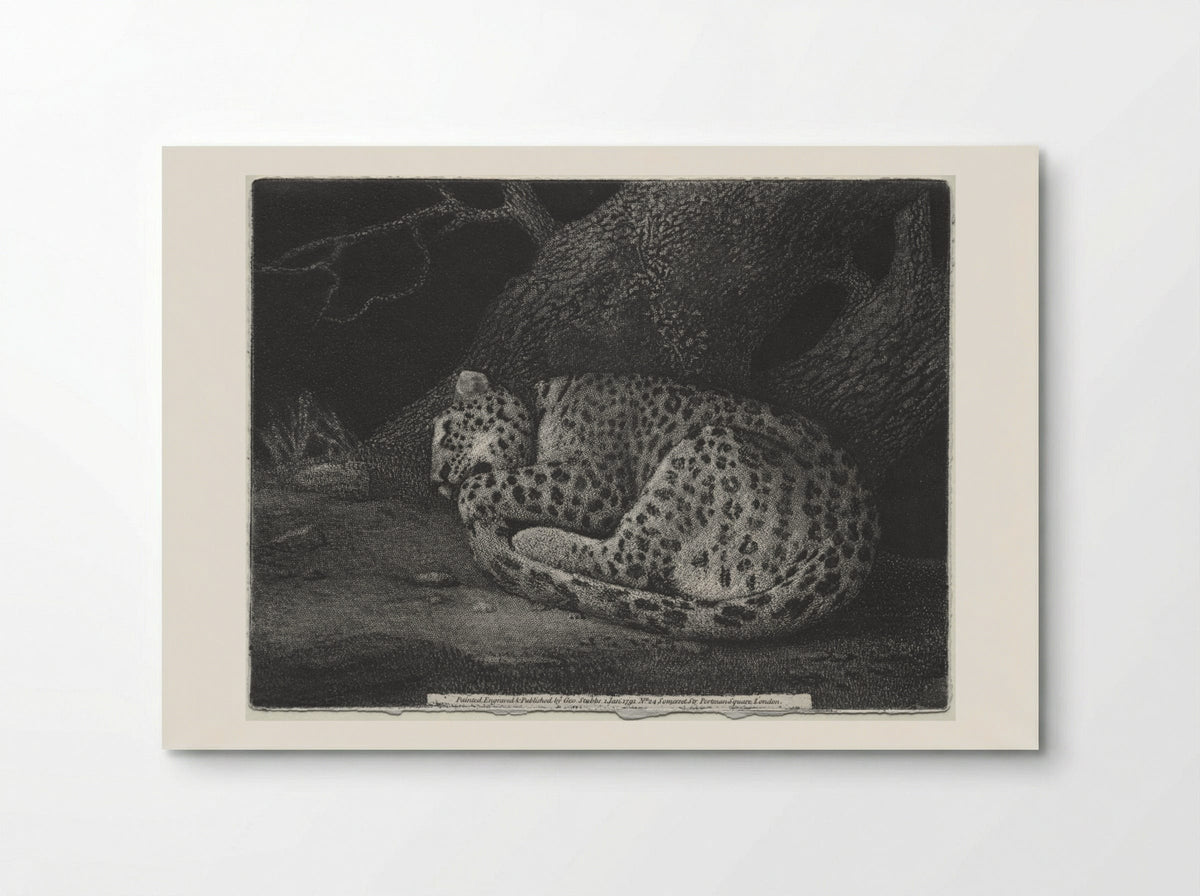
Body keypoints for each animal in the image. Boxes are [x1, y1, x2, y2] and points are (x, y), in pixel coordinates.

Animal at [431, 369, 878, 641]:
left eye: (446, 433)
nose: (436, 482)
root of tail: (856, 537)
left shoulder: (596, 483)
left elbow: (499, 482)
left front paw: (472, 500)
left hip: (704, 452)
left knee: (628, 560)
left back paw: (531, 538)